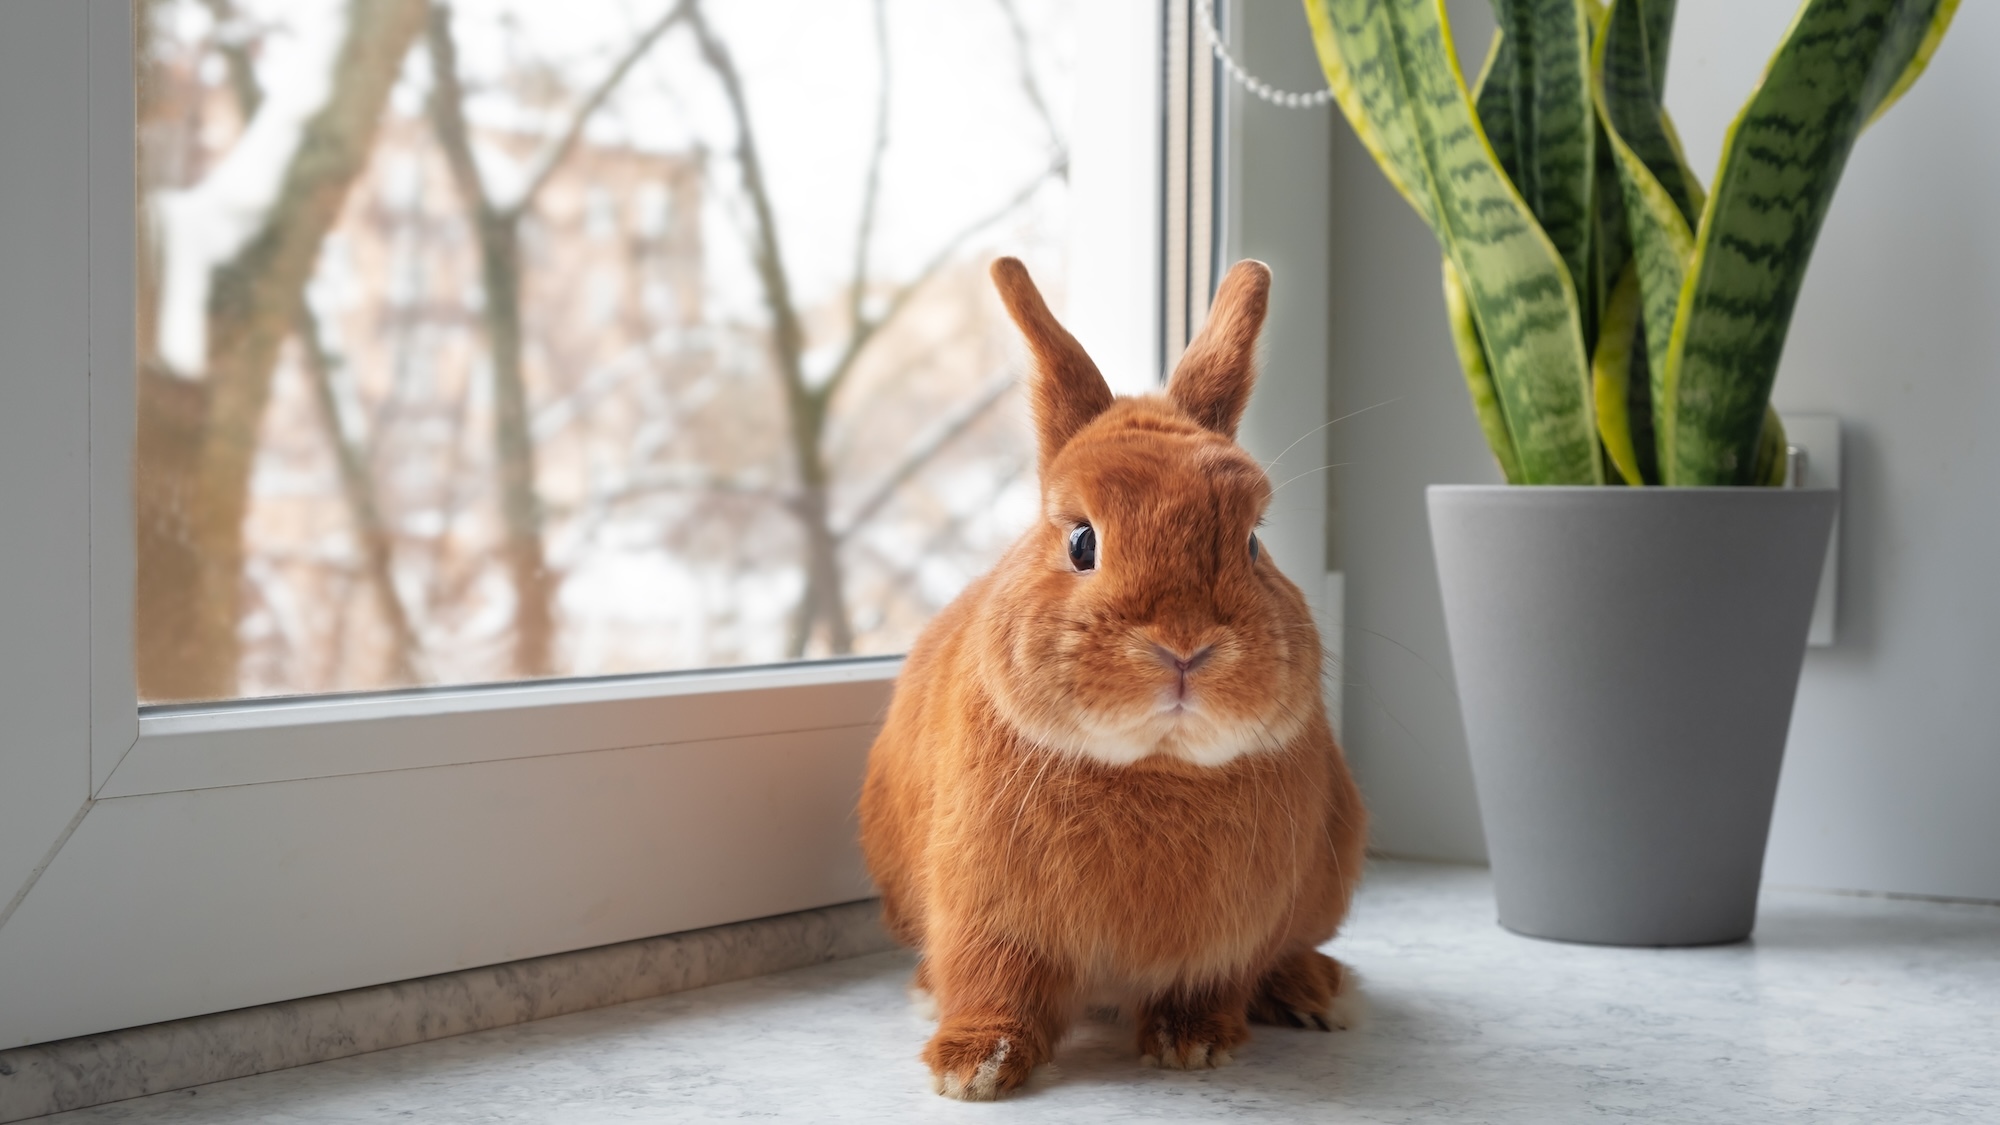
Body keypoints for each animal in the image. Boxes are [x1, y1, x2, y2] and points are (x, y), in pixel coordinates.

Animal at [857, 256, 1367, 1101]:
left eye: (1253, 542)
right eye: (1082, 542)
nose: (1184, 645)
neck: (1152, 765)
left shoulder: (1227, 939)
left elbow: (1211, 985)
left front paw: (1193, 1043)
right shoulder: (988, 917)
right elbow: (993, 981)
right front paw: (972, 1067)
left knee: (1291, 951)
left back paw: (1315, 991)